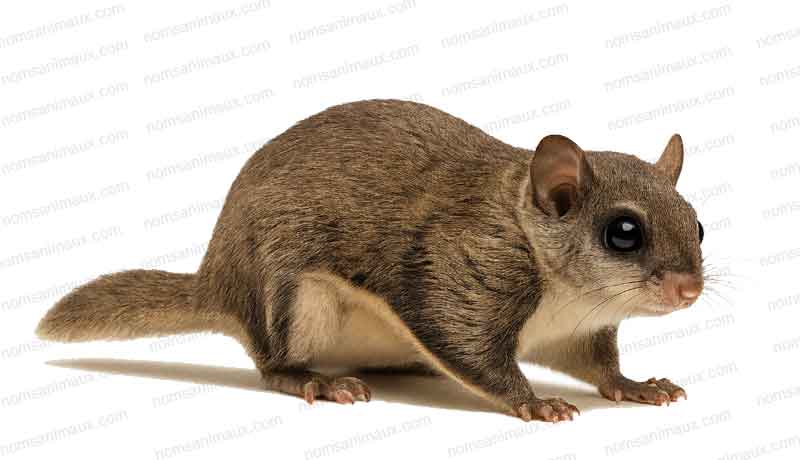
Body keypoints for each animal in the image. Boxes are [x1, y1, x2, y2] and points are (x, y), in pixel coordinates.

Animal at [37, 99, 705, 423]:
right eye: (623, 232)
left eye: (698, 224)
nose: (690, 291)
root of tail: (221, 281)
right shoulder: (461, 273)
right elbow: (468, 346)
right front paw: (533, 401)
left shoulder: (579, 332)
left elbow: (598, 367)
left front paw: (635, 385)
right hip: (291, 301)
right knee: (272, 366)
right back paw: (316, 381)